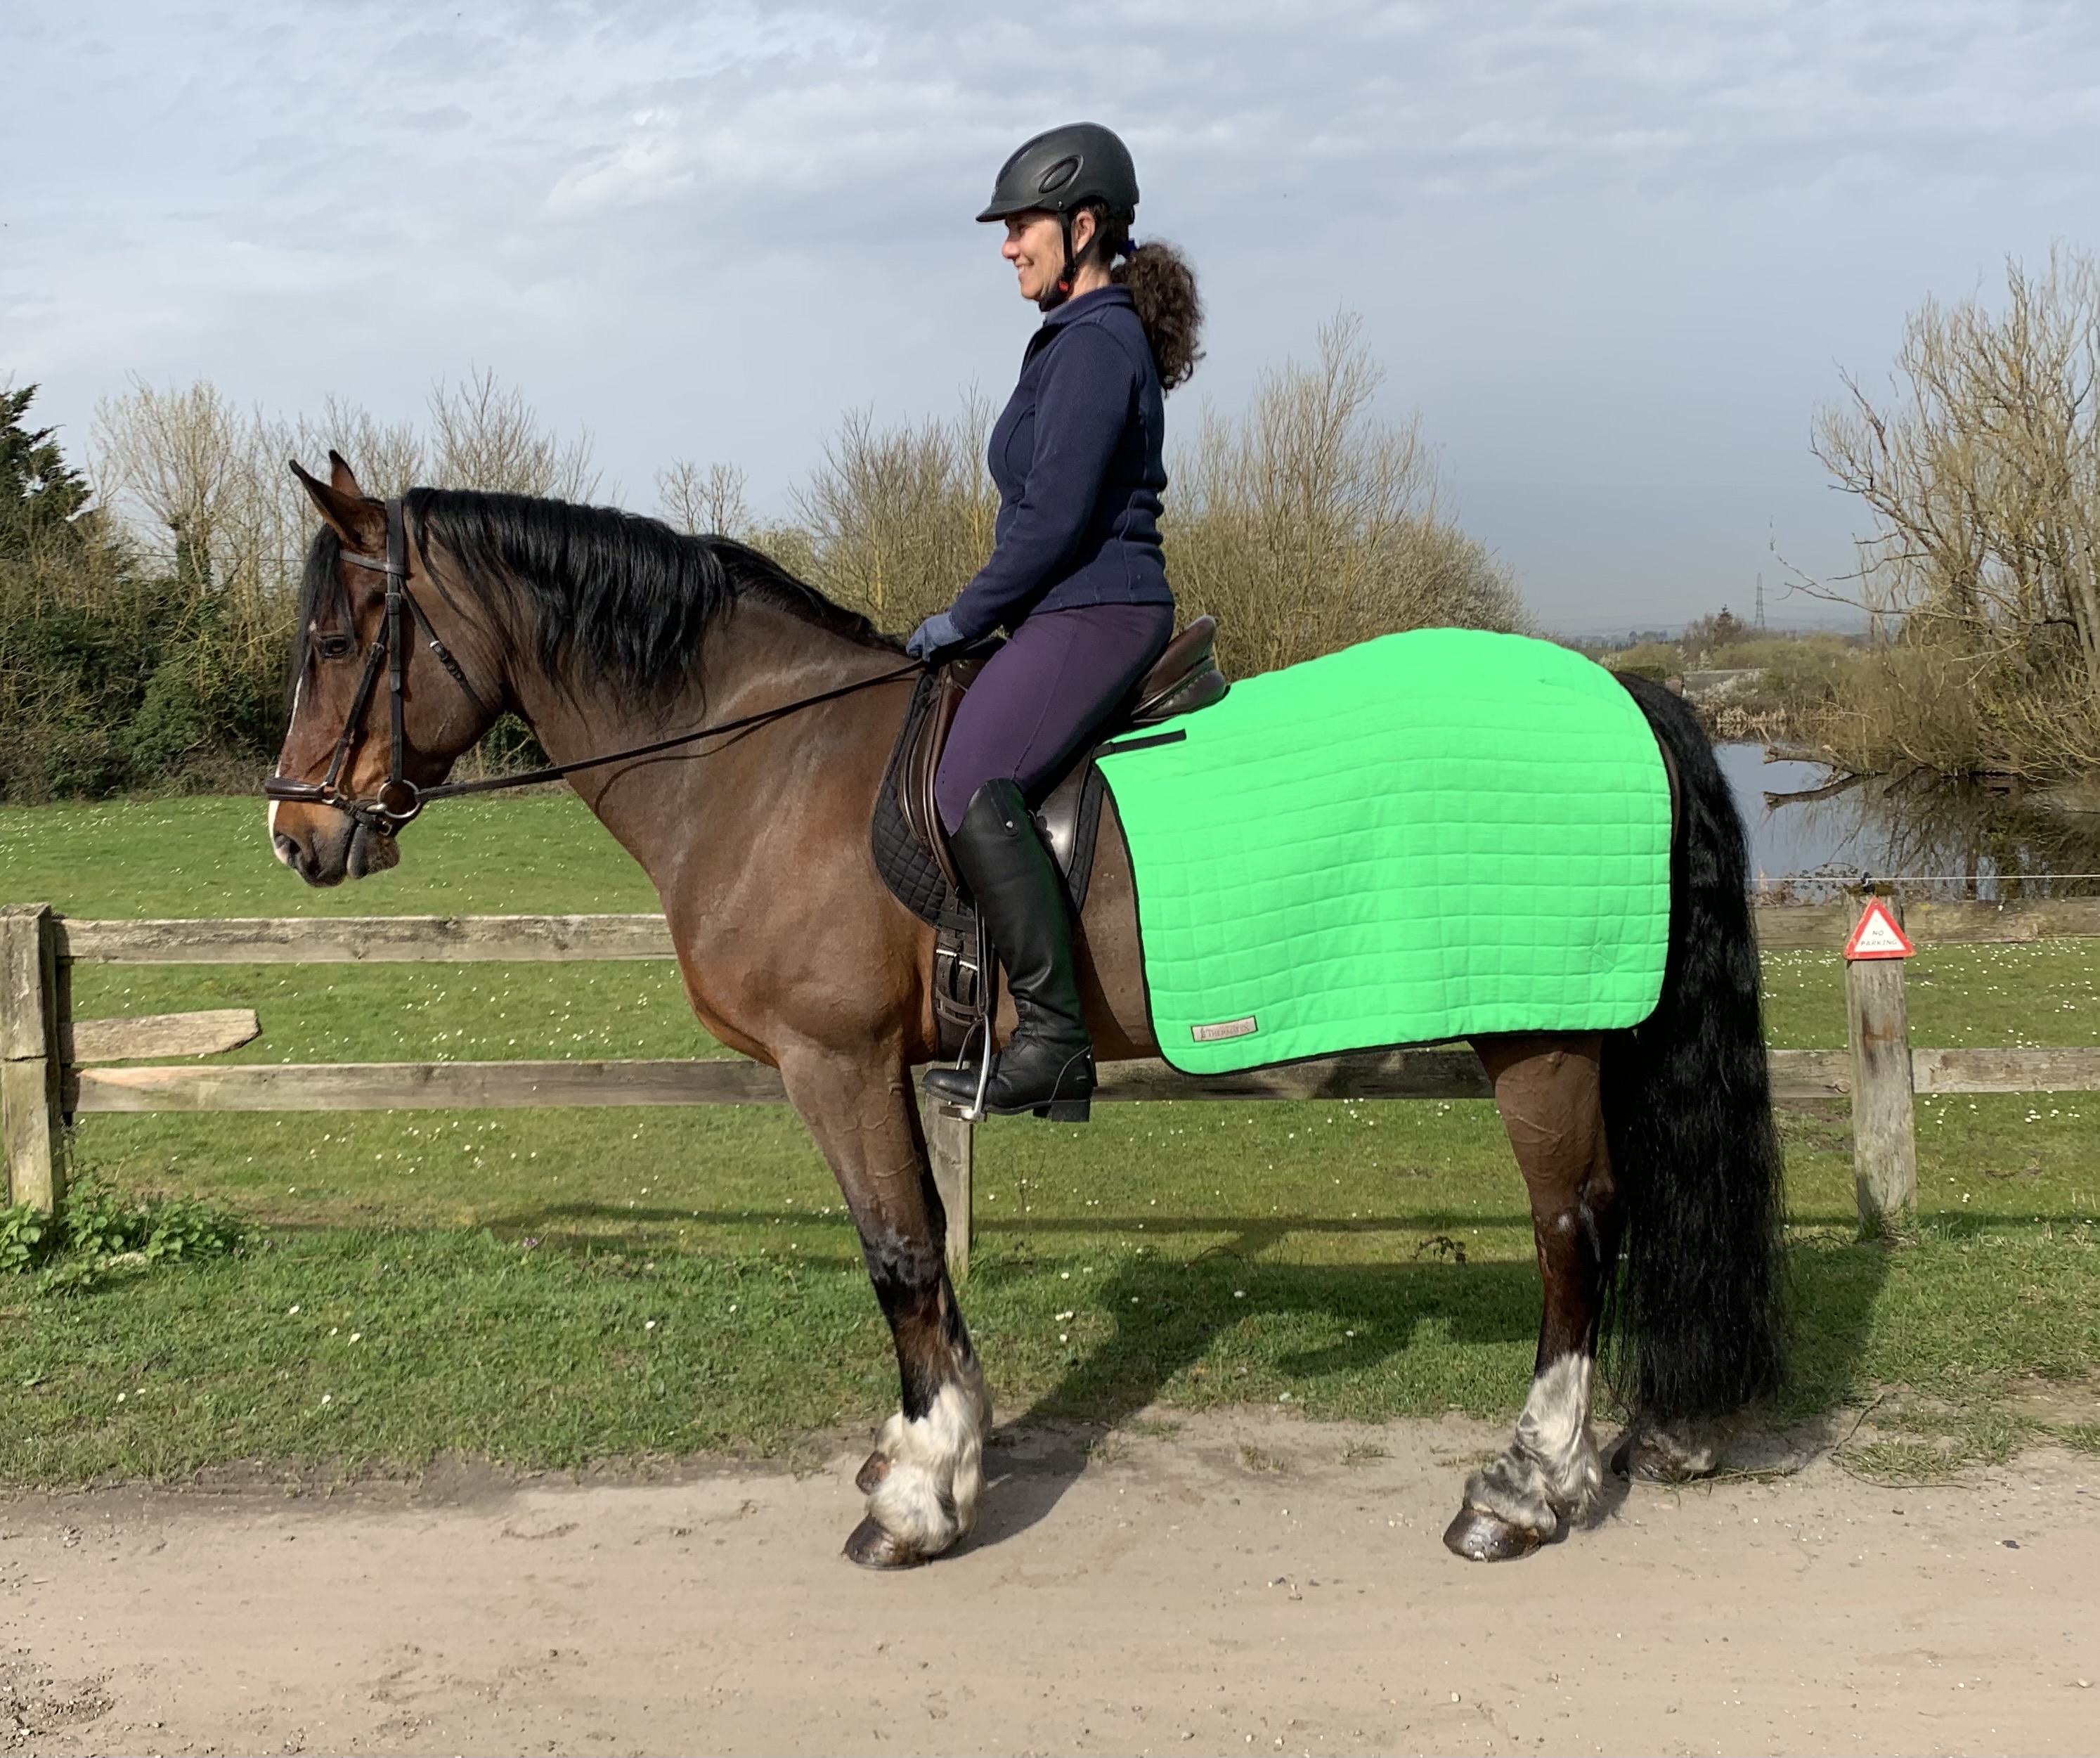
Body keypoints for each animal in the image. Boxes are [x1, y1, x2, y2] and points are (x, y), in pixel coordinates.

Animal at [267, 455, 1785, 1567]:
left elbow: (896, 1252)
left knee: (1573, 1226)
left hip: (1539, 1033)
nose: (294, 833)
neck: (763, 756)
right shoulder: (887, 1069)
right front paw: (927, 1446)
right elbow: (925, 1250)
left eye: (341, 638)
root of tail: (1621, 689)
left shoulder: (835, 1061)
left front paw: (921, 1495)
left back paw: (1521, 1487)